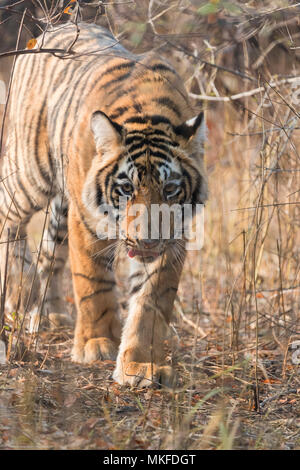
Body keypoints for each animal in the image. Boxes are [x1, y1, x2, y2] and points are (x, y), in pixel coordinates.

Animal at [0, 22, 207, 388]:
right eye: (126, 189)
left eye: (170, 190)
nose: (147, 242)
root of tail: (47, 31)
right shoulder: (86, 221)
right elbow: (92, 283)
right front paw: (96, 344)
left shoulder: (174, 236)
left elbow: (150, 302)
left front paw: (139, 365)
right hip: (30, 174)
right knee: (8, 217)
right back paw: (19, 295)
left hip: (60, 206)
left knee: (50, 254)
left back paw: (49, 314)